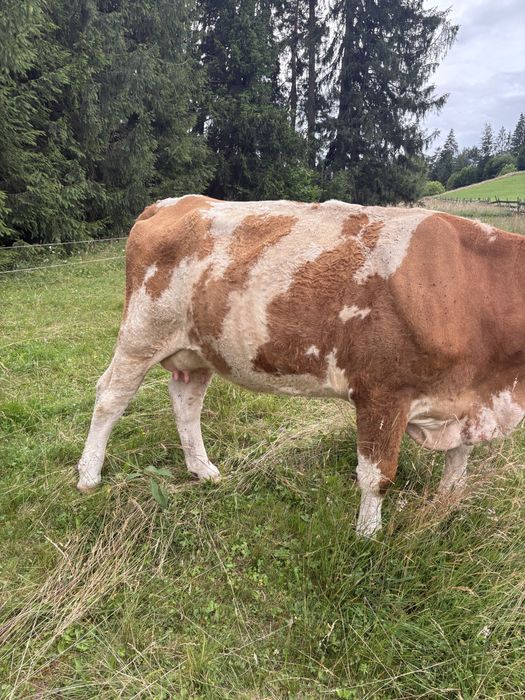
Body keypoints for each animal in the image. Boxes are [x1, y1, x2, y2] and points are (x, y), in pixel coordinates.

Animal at [76, 195, 525, 536]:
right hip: (141, 334)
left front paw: (448, 506)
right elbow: (377, 475)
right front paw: (368, 536)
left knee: (186, 401)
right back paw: (88, 476)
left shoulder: (467, 400)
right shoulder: (382, 392)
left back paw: (202, 469)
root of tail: (174, 202)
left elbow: (459, 463)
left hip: (200, 346)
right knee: (110, 397)